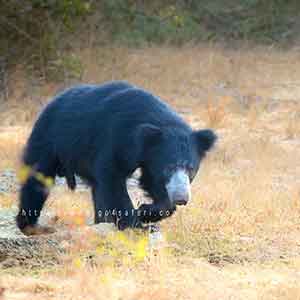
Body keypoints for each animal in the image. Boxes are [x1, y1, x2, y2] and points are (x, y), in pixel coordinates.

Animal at [16, 81, 217, 234]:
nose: (181, 198)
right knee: (37, 179)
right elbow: (113, 180)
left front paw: (146, 211)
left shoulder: (148, 158)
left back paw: (100, 221)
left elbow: (151, 182)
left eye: (191, 169)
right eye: (169, 167)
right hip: (49, 140)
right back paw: (30, 226)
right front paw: (138, 225)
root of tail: (50, 104)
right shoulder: (115, 139)